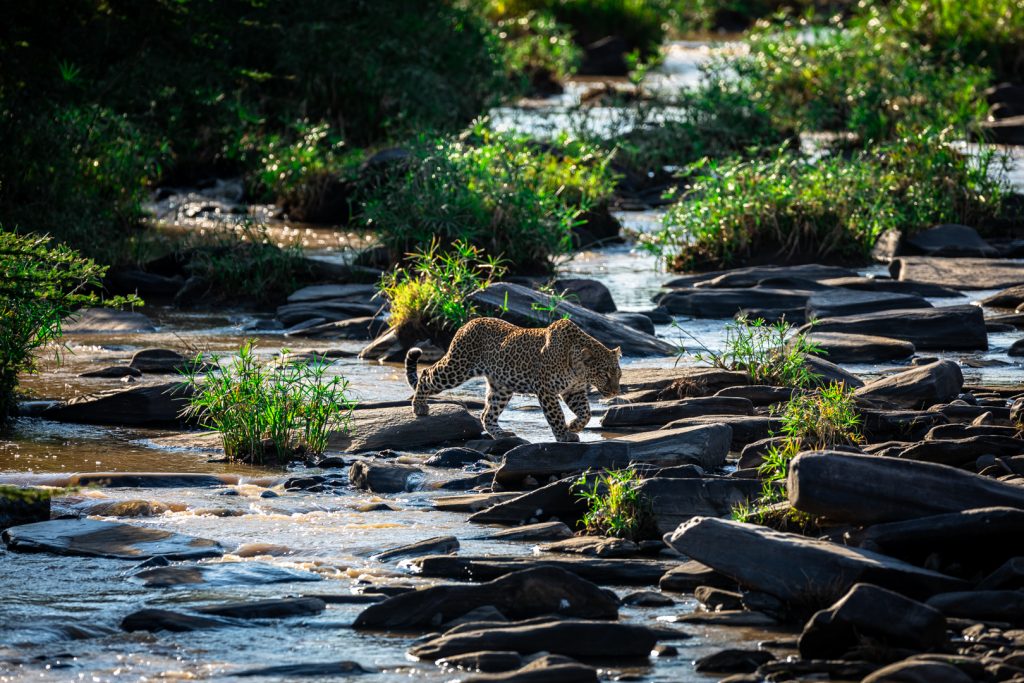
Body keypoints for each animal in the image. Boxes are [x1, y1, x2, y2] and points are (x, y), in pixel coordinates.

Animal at [405, 317, 622, 442]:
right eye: (605, 375)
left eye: (618, 375)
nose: (615, 391)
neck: (578, 369)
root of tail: (468, 323)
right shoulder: (546, 389)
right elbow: (556, 415)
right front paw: (564, 434)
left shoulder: (573, 390)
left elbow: (586, 413)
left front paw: (574, 426)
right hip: (457, 367)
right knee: (426, 375)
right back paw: (419, 406)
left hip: (501, 387)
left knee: (487, 414)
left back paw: (502, 434)